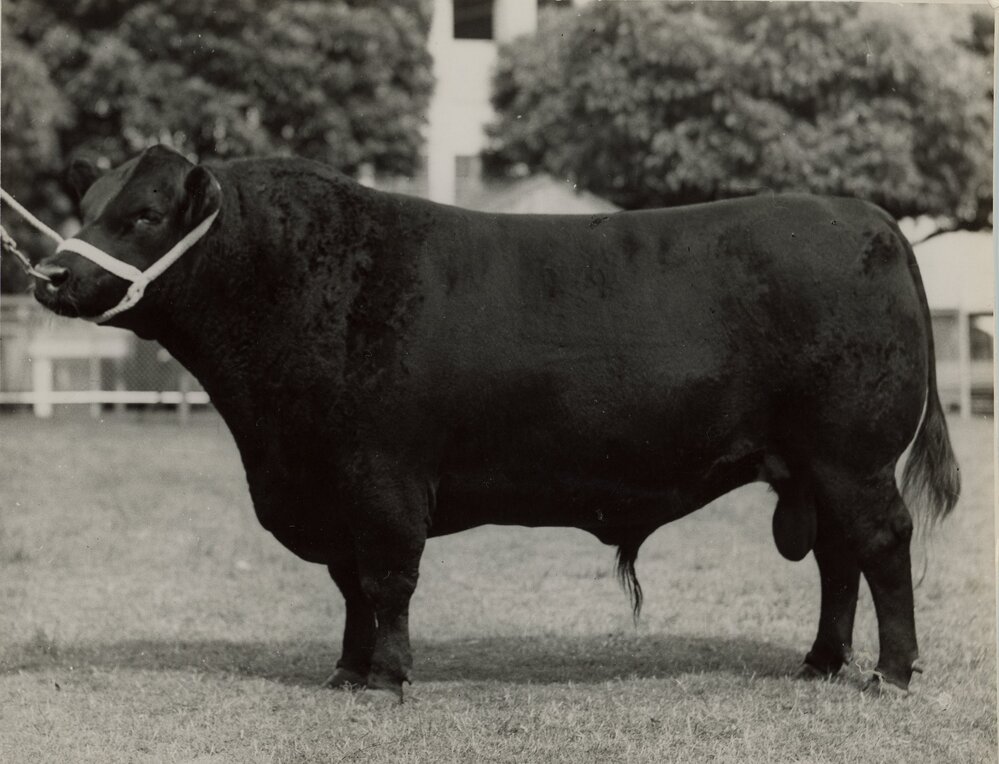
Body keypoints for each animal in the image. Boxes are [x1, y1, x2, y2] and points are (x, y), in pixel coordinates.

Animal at [33, 145, 959, 699]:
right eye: (89, 203)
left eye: (143, 214)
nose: (50, 275)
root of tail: (863, 216)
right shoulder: (328, 489)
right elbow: (349, 588)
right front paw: (347, 672)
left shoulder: (382, 479)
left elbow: (386, 582)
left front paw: (388, 678)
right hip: (811, 466)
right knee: (837, 559)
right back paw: (820, 662)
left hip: (851, 457)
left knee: (880, 547)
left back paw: (889, 673)